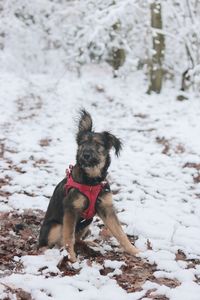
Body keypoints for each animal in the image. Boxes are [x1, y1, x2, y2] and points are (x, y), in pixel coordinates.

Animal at [38, 109, 139, 262]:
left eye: (98, 144)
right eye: (83, 143)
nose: (85, 155)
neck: (91, 181)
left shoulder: (106, 208)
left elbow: (120, 232)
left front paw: (134, 251)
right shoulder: (70, 209)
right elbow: (69, 237)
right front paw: (72, 258)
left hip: (87, 222)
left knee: (78, 239)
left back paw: (90, 244)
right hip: (55, 226)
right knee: (48, 245)